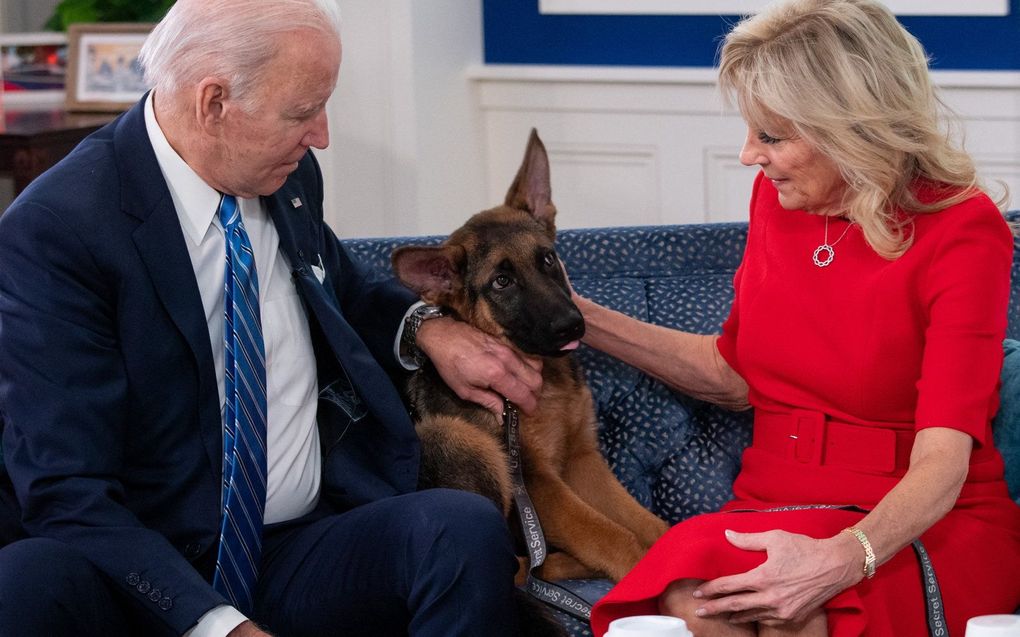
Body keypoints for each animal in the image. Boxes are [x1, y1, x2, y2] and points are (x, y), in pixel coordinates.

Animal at [389, 127, 669, 587]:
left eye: (548, 259)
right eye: (501, 282)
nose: (572, 326)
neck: (545, 378)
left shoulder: (581, 460)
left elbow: (648, 523)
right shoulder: (539, 482)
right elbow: (612, 536)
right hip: (457, 439)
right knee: (519, 568)